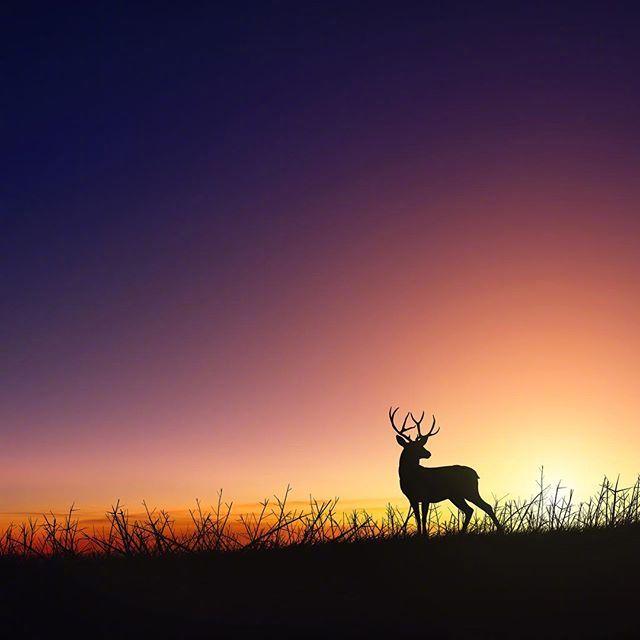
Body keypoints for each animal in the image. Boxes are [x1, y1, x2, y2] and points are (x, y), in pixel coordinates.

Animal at [388, 408, 502, 536]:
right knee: (470, 510)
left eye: (421, 445)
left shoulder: (426, 495)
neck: (410, 476)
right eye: (413, 447)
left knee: (485, 506)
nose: (428, 453)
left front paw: (425, 536)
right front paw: (419, 535)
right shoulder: (412, 498)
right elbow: (417, 518)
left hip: (469, 491)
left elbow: (423, 518)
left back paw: (500, 530)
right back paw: (462, 533)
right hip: (456, 495)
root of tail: (476, 475)